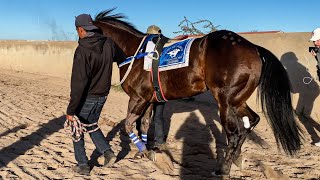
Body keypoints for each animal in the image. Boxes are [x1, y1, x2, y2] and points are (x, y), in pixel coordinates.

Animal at [92, 9, 300, 176]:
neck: (136, 53)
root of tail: (254, 48)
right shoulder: (148, 100)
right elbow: (143, 125)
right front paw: (145, 152)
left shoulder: (138, 99)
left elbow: (128, 125)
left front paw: (148, 154)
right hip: (237, 100)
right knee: (252, 121)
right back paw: (236, 158)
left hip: (225, 101)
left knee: (234, 133)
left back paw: (223, 169)